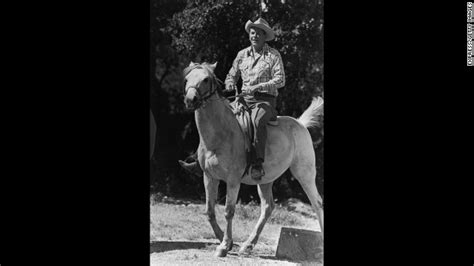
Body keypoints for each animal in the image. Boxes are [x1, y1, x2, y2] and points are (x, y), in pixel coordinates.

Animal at [183, 61, 324, 256]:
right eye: (187, 79)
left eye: (205, 79)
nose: (190, 99)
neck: (220, 135)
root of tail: (300, 124)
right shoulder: (209, 177)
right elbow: (209, 211)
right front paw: (225, 241)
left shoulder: (233, 180)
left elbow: (228, 211)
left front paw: (224, 245)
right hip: (265, 180)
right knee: (267, 207)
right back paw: (248, 244)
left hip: (304, 174)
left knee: (317, 203)